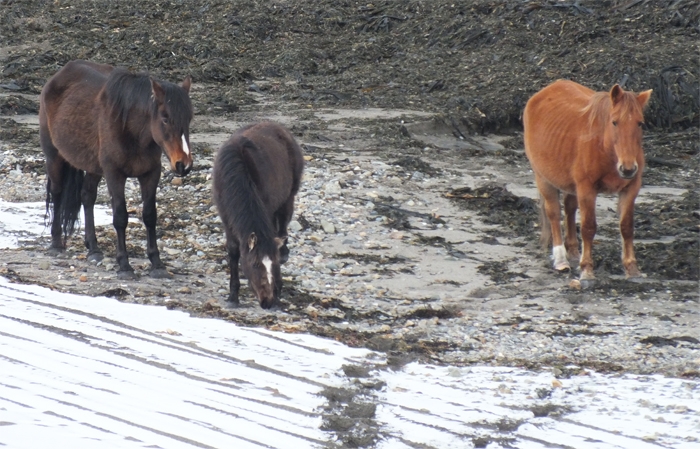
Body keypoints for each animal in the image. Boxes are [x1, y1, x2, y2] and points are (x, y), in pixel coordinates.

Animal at [40, 59, 194, 276]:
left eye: (189, 118)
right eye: (165, 118)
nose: (183, 164)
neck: (132, 130)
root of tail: (57, 76)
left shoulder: (150, 174)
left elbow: (150, 215)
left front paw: (156, 263)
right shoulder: (114, 174)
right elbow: (120, 216)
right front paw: (124, 264)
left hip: (93, 166)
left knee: (87, 196)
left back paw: (93, 248)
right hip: (54, 156)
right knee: (57, 193)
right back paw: (55, 243)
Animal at [212, 121, 302, 308]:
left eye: (273, 263)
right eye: (254, 264)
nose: (268, 301)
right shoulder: (226, 219)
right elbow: (233, 250)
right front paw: (233, 296)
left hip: (288, 199)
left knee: (283, 227)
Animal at [524, 79, 652, 278]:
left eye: (640, 123)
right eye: (614, 122)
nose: (628, 168)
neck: (606, 149)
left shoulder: (631, 188)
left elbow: (626, 226)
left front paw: (632, 268)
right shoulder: (586, 189)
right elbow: (588, 227)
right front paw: (587, 269)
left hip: (570, 185)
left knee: (569, 209)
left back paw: (573, 252)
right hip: (543, 179)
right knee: (554, 213)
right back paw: (561, 259)